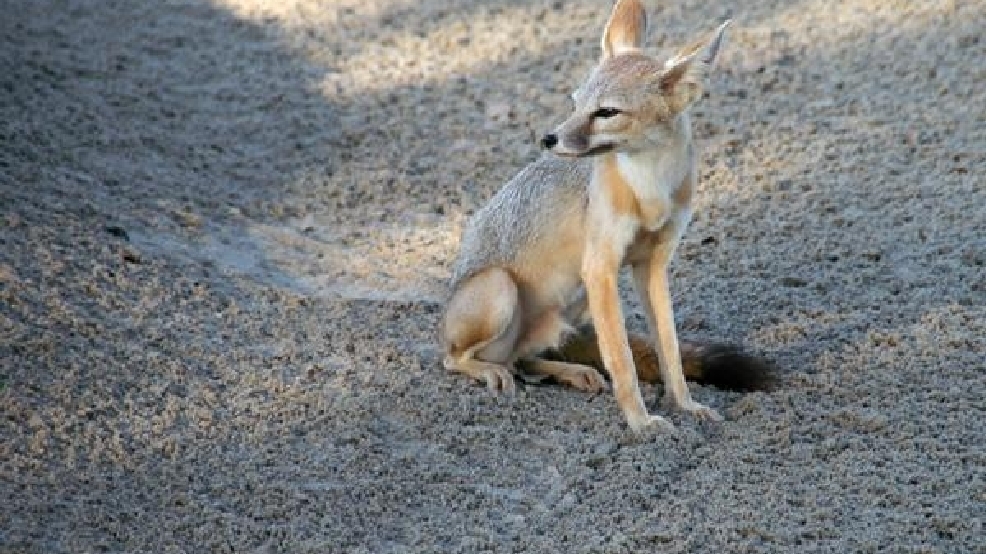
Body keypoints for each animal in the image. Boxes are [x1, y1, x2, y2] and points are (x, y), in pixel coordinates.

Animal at [441, 0, 774, 433]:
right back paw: (489, 370)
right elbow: (622, 359)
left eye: (607, 112)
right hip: (503, 288)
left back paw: (570, 372)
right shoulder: (601, 267)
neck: (651, 188)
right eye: (575, 102)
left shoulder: (652, 266)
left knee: (522, 360)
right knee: (459, 359)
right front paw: (642, 424)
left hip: (572, 303)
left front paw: (685, 406)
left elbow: (670, 350)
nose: (548, 138)